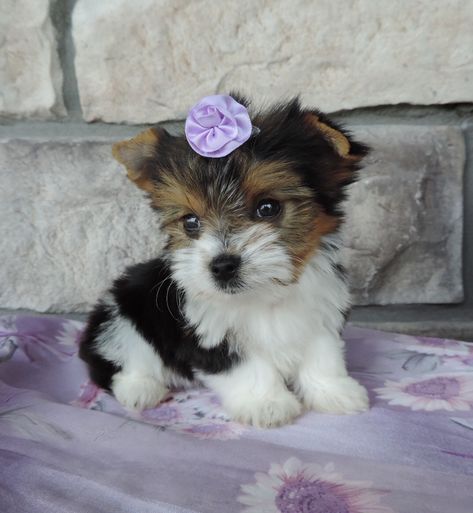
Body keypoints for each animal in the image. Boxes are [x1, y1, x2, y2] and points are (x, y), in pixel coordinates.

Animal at [79, 94, 370, 426]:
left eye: (267, 207)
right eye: (190, 222)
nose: (222, 266)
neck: (264, 296)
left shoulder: (321, 312)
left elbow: (323, 354)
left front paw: (335, 392)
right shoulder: (210, 331)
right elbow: (246, 367)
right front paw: (266, 404)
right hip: (122, 315)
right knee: (119, 358)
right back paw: (140, 389)